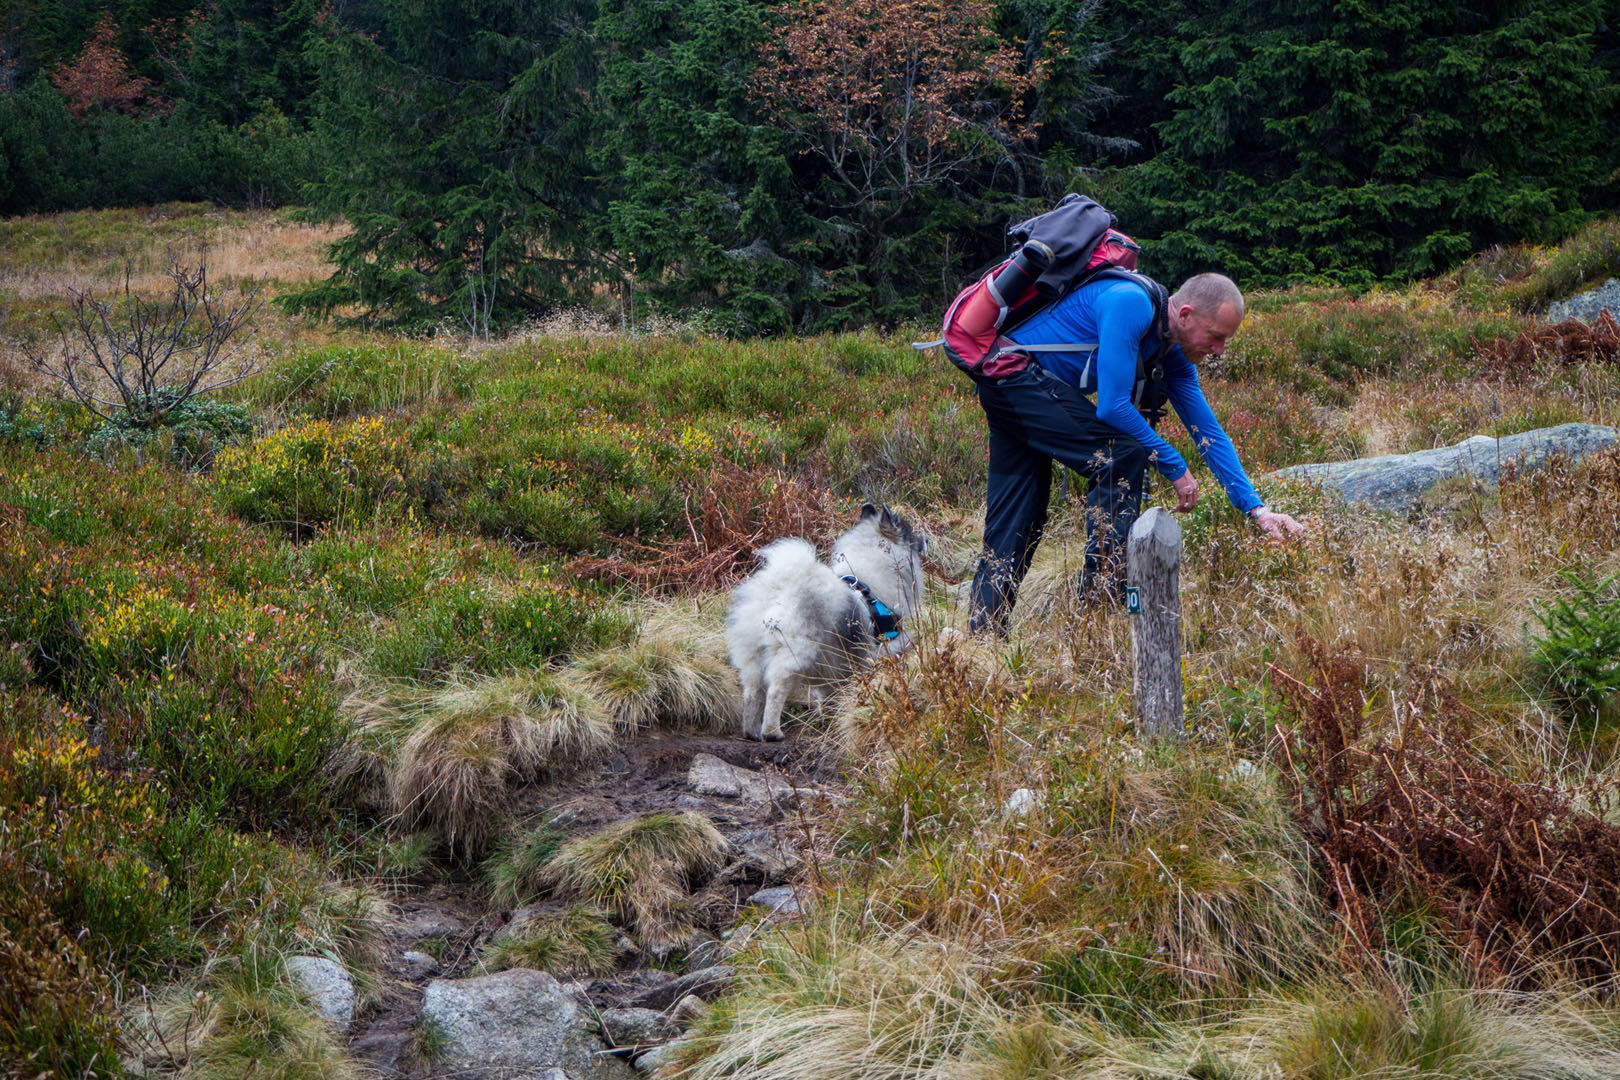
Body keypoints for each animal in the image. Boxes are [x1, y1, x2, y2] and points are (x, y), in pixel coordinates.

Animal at [722, 505, 926, 744]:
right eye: (911, 535)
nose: (925, 540)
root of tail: (778, 588)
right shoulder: (878, 647)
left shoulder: (834, 664)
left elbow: (828, 694)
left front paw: (830, 717)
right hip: (795, 653)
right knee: (776, 691)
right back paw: (772, 732)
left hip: (752, 656)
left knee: (752, 693)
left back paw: (751, 732)